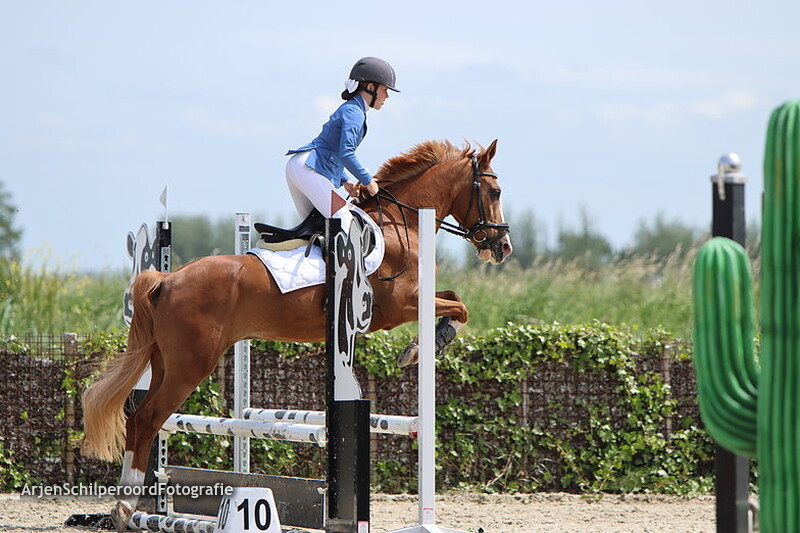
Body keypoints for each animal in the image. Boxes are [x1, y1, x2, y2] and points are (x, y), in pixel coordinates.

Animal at [81, 139, 512, 529]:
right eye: (495, 192)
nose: (503, 246)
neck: (399, 225)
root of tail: (166, 279)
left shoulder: (413, 301)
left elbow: (454, 298)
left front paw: (427, 343)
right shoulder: (400, 307)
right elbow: (460, 307)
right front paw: (421, 348)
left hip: (163, 362)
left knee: (137, 416)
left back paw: (135, 506)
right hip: (190, 365)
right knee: (148, 419)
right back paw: (125, 505)